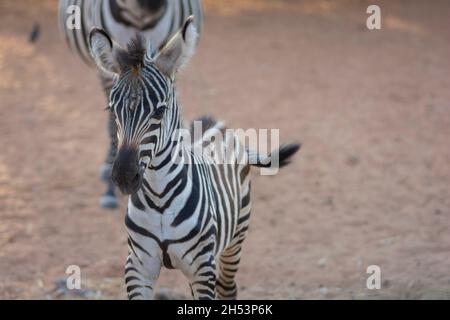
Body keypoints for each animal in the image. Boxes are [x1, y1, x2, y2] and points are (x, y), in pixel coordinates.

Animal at [88, 16, 300, 298]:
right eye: (111, 109)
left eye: (160, 111)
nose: (123, 176)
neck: (159, 199)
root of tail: (217, 125)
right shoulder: (137, 266)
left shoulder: (202, 268)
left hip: (234, 240)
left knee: (228, 287)